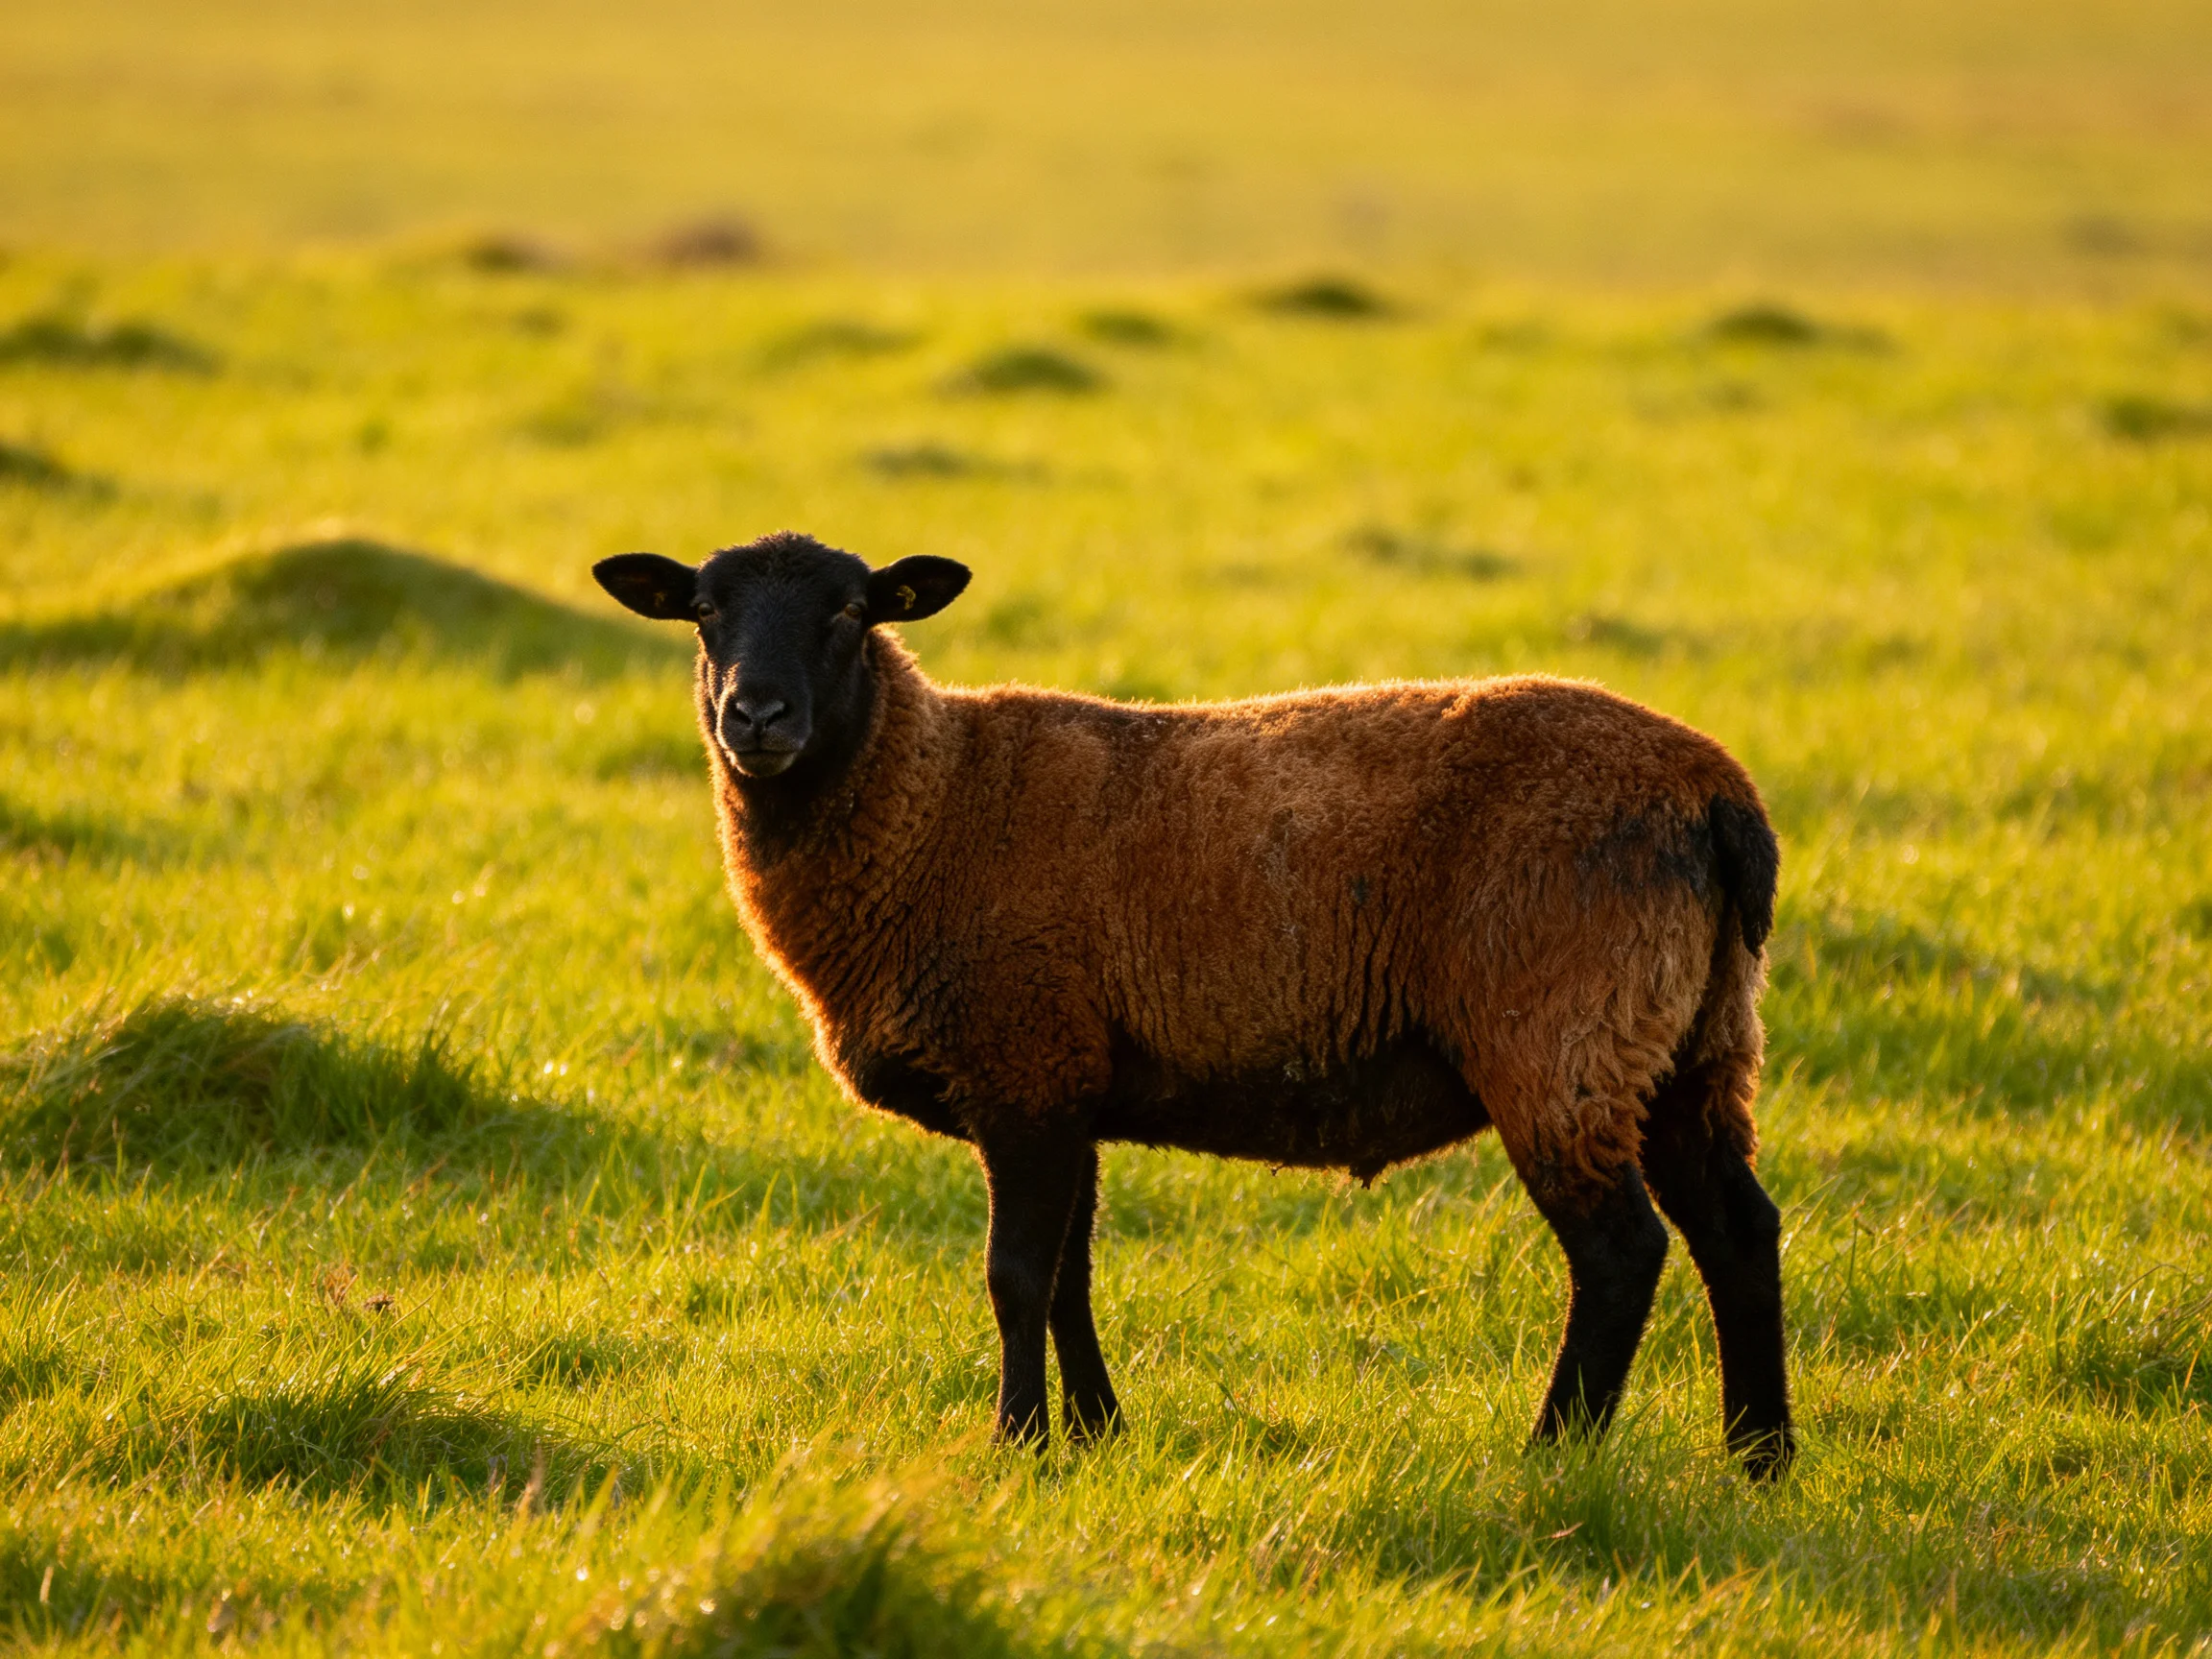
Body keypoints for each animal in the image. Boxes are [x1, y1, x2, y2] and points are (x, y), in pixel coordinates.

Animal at [594, 530, 1794, 1479]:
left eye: (850, 611)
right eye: (704, 611)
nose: (756, 715)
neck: (934, 799)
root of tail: (1720, 797)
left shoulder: (1022, 1068)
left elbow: (1015, 1275)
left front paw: (1018, 1444)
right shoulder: (1069, 1079)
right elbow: (1070, 1277)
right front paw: (1096, 1433)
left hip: (1561, 1037)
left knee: (1620, 1250)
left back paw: (1554, 1452)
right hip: (1693, 1040)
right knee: (1738, 1228)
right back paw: (1760, 1459)